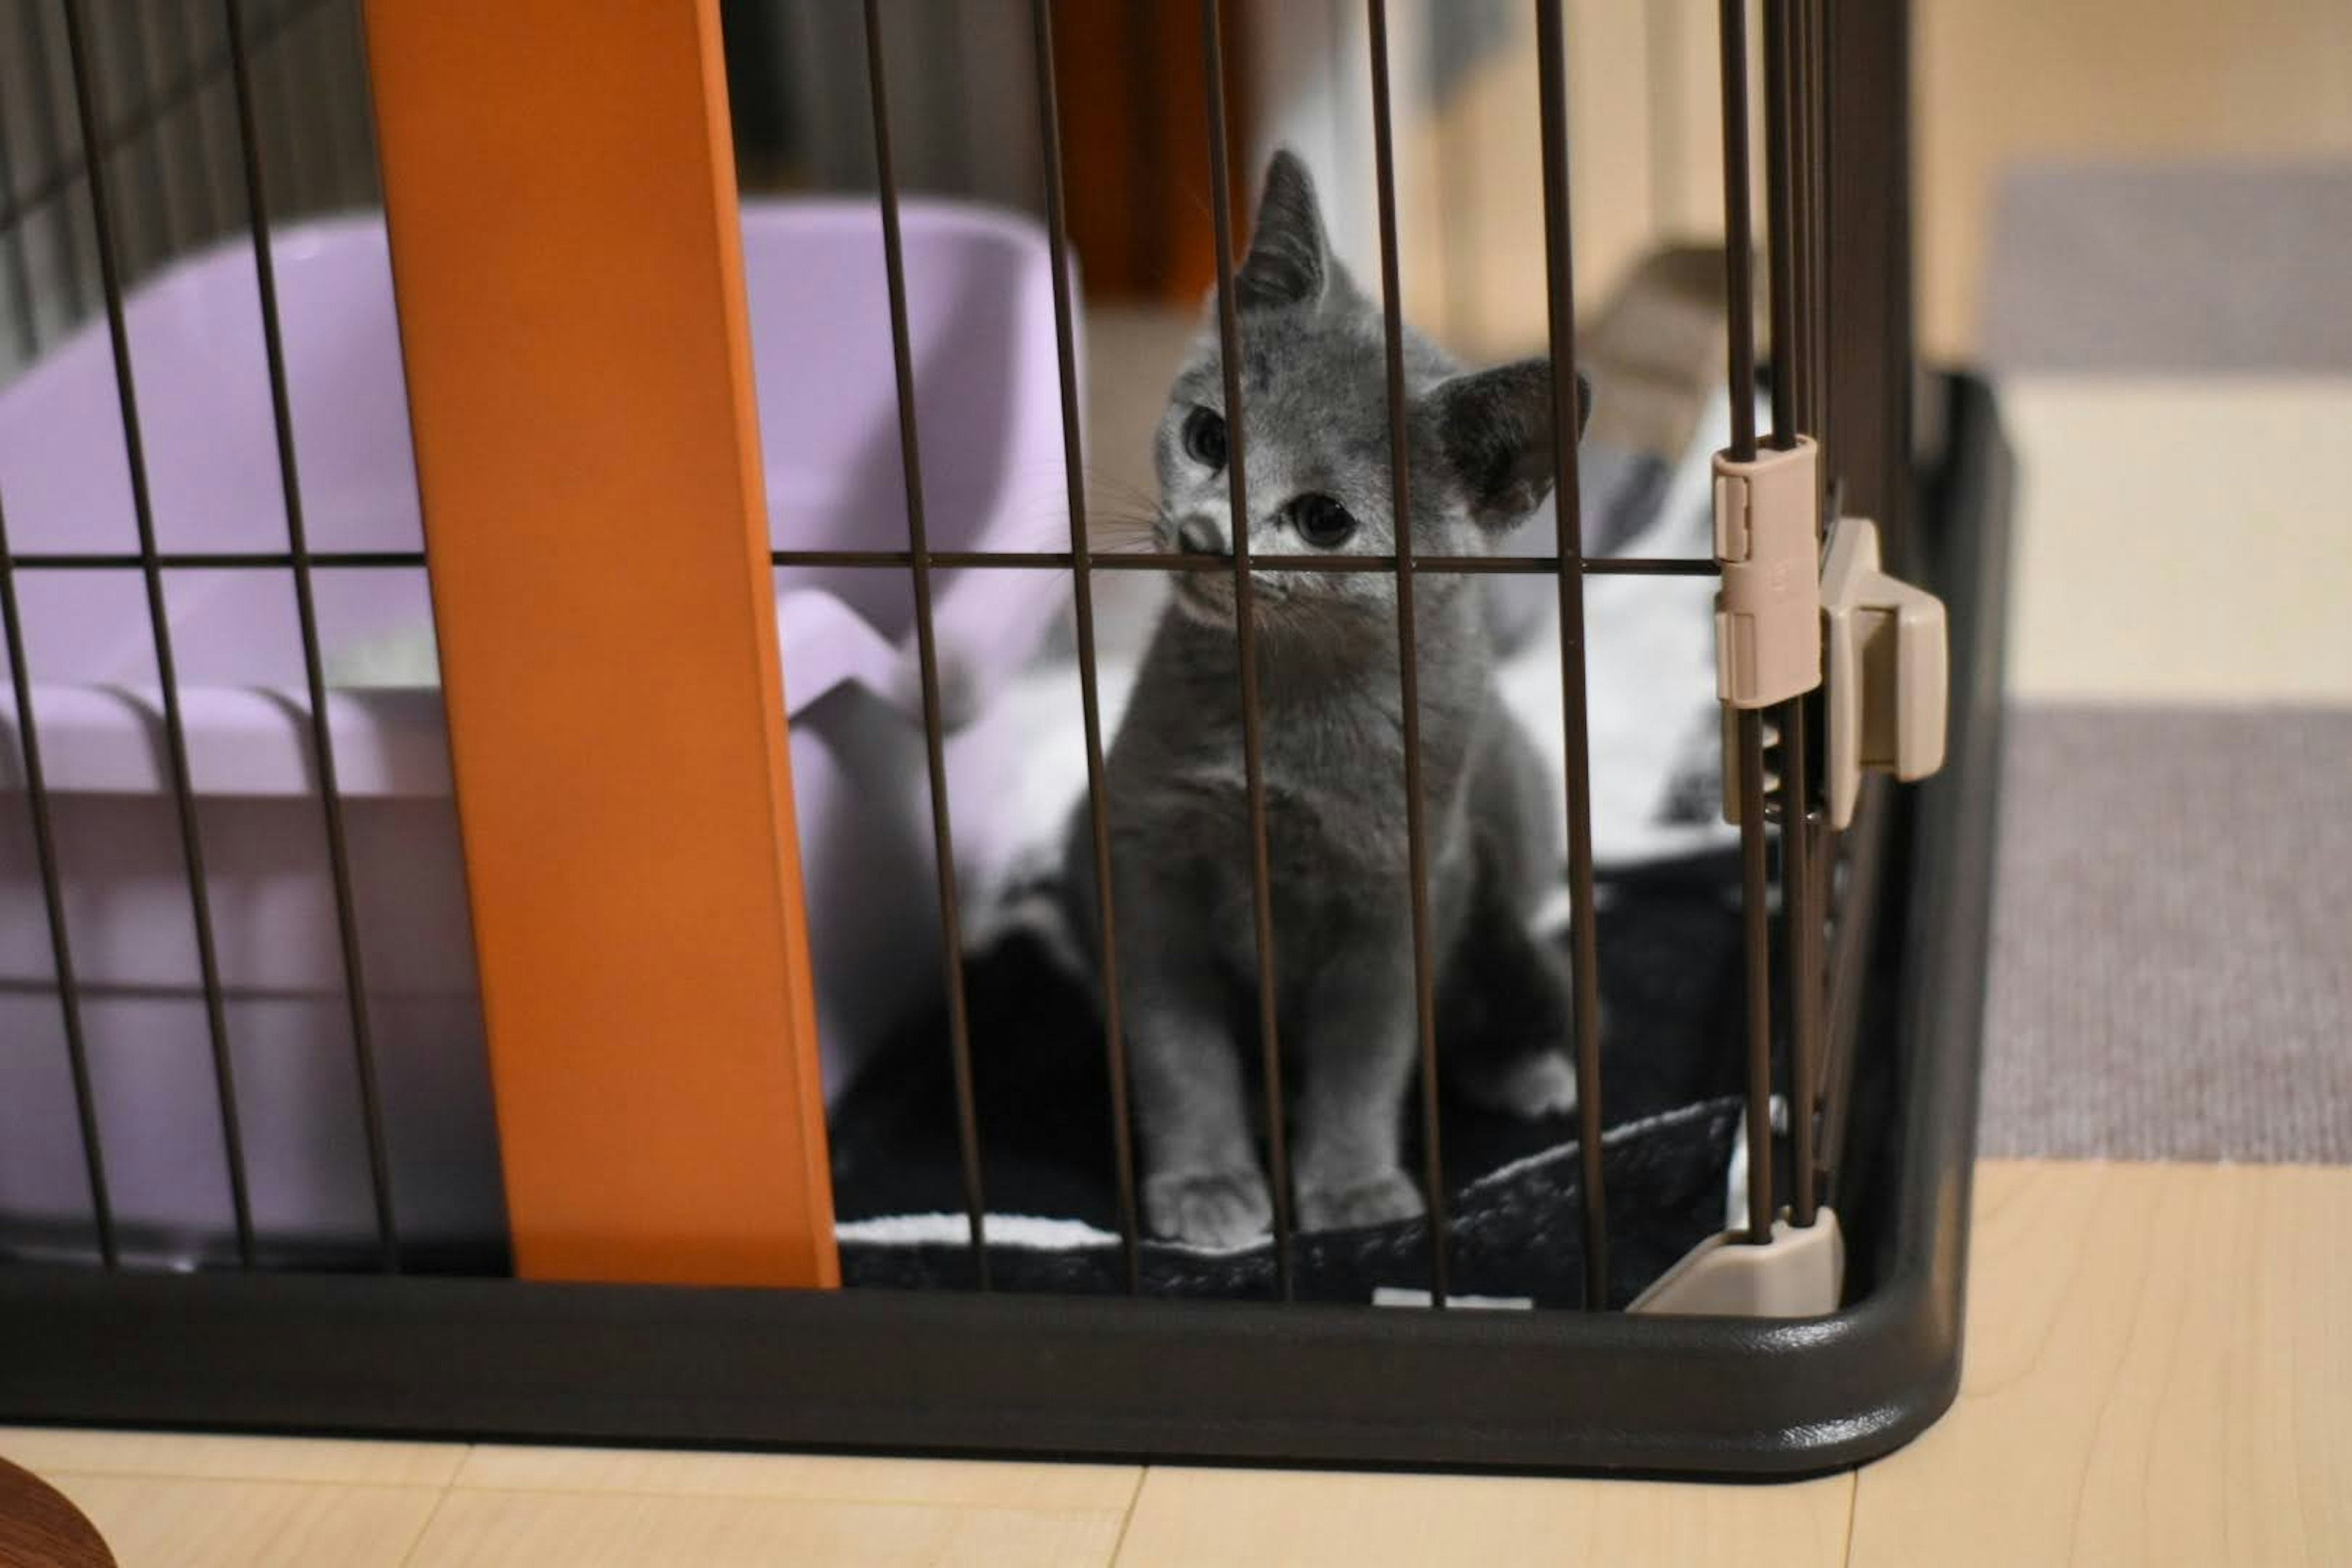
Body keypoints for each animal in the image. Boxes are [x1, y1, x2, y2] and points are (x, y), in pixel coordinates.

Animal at [1072, 150, 1589, 1250]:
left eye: (1321, 520)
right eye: (1209, 436)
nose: (1201, 536)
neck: (1284, 709)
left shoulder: (1396, 896)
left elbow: (1367, 1057)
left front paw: (1350, 1189)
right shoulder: (1148, 863)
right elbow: (1180, 1053)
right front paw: (1208, 1184)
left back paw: (1525, 1065)